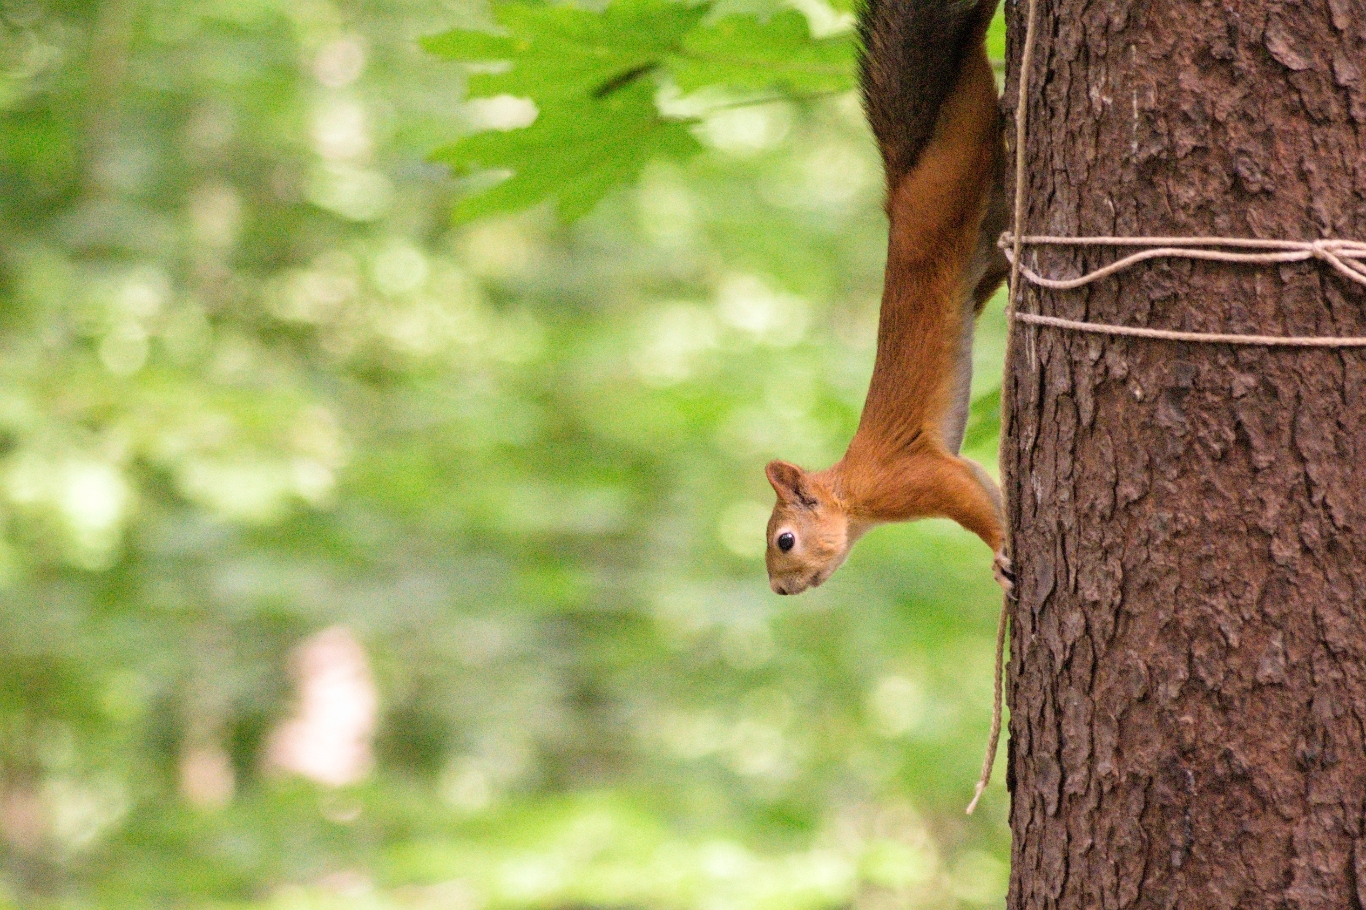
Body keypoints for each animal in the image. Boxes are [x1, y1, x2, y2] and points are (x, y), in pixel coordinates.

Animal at [759, 0, 1016, 595]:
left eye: (785, 541)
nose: (780, 589)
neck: (854, 490)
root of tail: (901, 186)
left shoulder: (914, 476)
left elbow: (970, 498)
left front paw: (1001, 549)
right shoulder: (951, 471)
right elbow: (986, 486)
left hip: (952, 172)